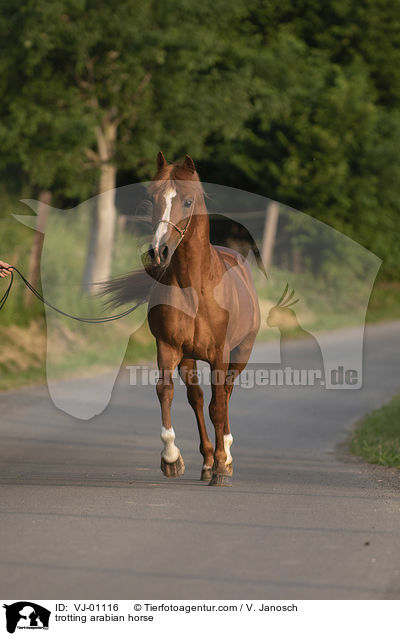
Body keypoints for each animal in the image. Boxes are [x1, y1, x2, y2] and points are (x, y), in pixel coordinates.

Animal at [108, 155, 260, 486]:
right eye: (153, 198)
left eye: (188, 201)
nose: (158, 252)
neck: (196, 288)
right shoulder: (168, 348)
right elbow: (166, 392)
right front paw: (171, 459)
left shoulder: (220, 354)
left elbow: (219, 405)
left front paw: (222, 467)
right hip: (189, 359)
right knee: (197, 399)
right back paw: (207, 461)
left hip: (240, 353)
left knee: (225, 395)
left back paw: (225, 456)